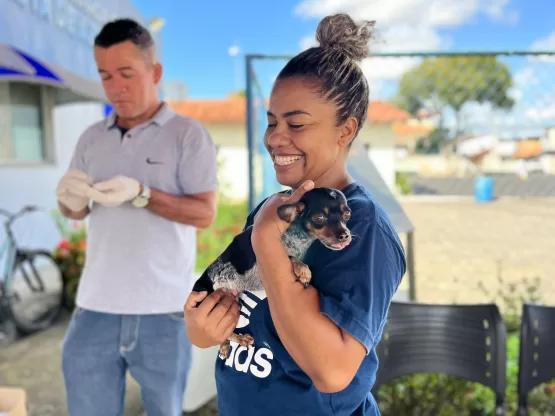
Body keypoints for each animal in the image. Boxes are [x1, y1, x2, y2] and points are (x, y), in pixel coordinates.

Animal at [193, 187, 354, 360]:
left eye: (347, 215)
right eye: (319, 217)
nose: (345, 235)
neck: (298, 238)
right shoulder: (260, 261)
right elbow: (290, 257)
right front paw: (303, 270)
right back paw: (239, 339)